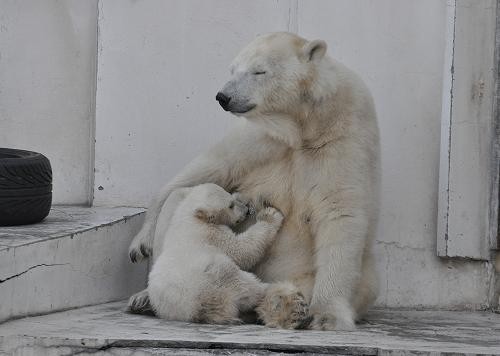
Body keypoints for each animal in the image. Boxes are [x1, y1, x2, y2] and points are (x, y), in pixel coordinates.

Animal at [129, 32, 378, 330]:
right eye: (233, 69)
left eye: (259, 70)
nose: (223, 96)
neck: (301, 125)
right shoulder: (261, 138)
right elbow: (211, 168)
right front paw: (140, 244)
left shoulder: (344, 135)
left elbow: (339, 212)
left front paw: (327, 316)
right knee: (179, 199)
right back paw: (144, 298)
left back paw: (283, 306)